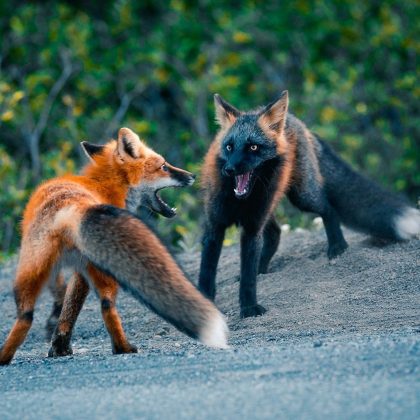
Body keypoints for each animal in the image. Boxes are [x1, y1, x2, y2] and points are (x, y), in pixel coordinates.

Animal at [0, 127, 228, 364]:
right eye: (164, 166)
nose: (192, 175)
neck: (104, 187)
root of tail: (68, 208)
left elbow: (66, 308)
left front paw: (59, 346)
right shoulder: (83, 271)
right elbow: (73, 307)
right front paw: (61, 346)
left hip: (30, 270)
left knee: (25, 316)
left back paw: (4, 357)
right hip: (102, 268)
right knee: (107, 305)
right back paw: (122, 347)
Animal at [198, 90, 420, 316]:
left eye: (253, 147)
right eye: (229, 147)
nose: (229, 169)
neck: (238, 201)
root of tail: (295, 120)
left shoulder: (252, 228)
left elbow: (248, 278)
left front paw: (249, 307)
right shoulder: (215, 227)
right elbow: (207, 272)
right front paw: (205, 302)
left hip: (302, 197)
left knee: (328, 209)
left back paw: (337, 247)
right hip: (274, 206)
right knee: (276, 233)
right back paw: (264, 268)